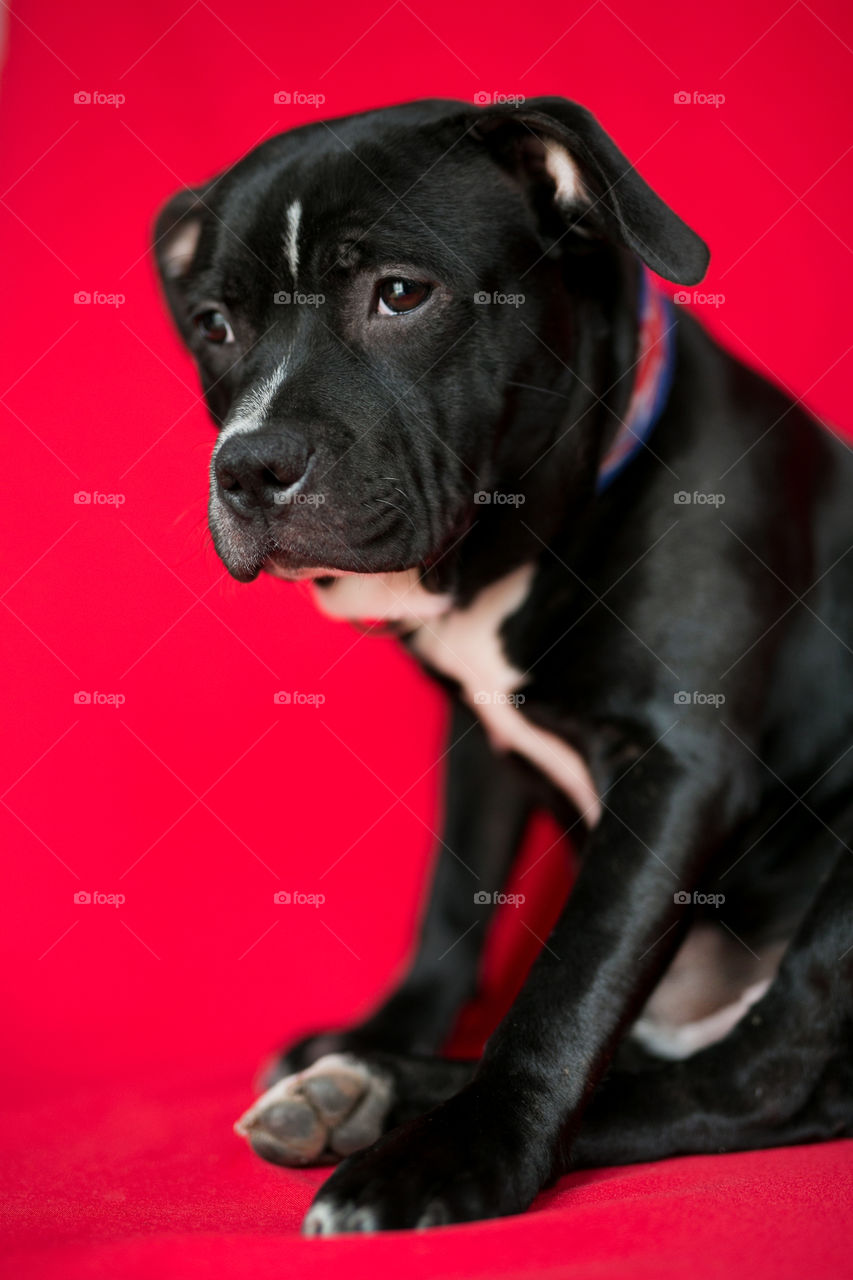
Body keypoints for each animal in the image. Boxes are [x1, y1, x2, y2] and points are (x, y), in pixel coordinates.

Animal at [154, 94, 850, 1233]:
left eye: (400, 293)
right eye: (214, 324)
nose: (247, 465)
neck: (508, 551)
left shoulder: (678, 767)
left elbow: (568, 984)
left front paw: (467, 1152)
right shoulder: (479, 737)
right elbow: (452, 900)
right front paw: (389, 1035)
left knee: (760, 1079)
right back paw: (357, 1080)